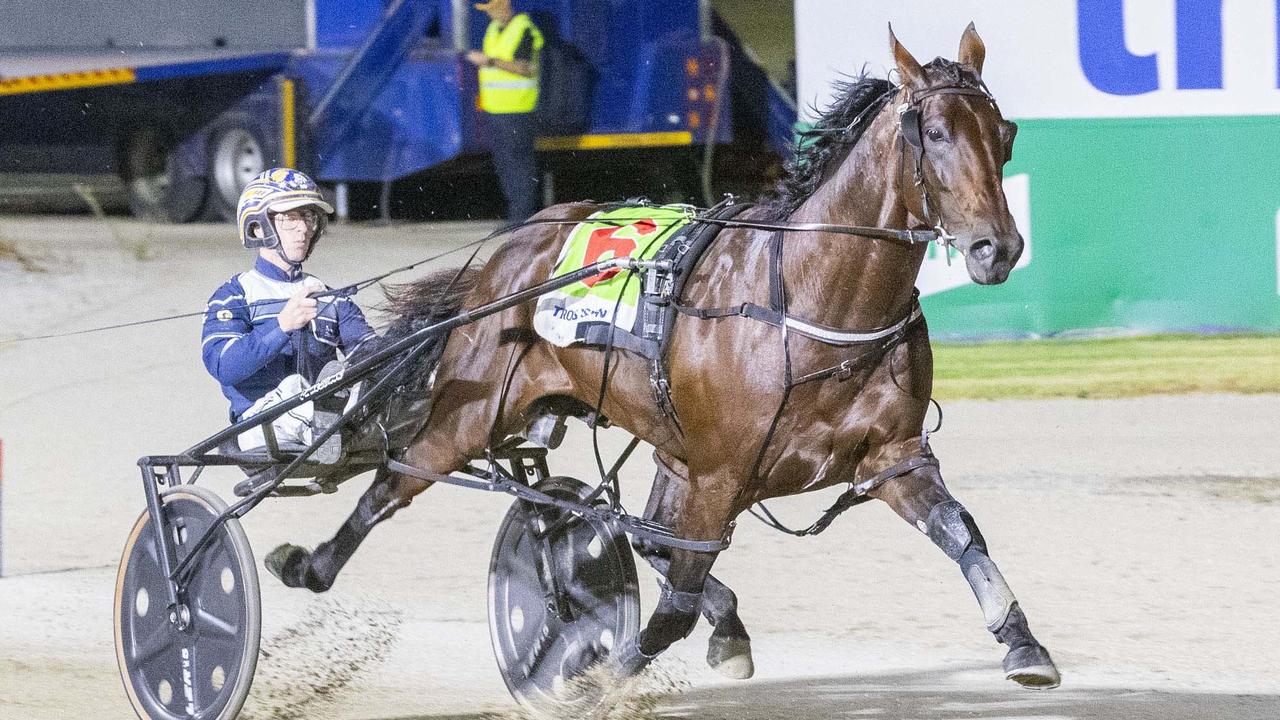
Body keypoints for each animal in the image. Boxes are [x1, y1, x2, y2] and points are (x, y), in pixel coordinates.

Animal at [267, 25, 1059, 691]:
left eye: (1005, 133)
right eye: (935, 133)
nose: (997, 248)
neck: (806, 302)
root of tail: (512, 246)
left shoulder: (891, 456)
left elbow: (962, 537)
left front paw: (1023, 644)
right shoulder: (720, 470)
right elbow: (674, 600)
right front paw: (599, 671)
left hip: (664, 443)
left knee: (633, 527)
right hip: (475, 412)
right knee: (393, 482)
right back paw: (308, 563)